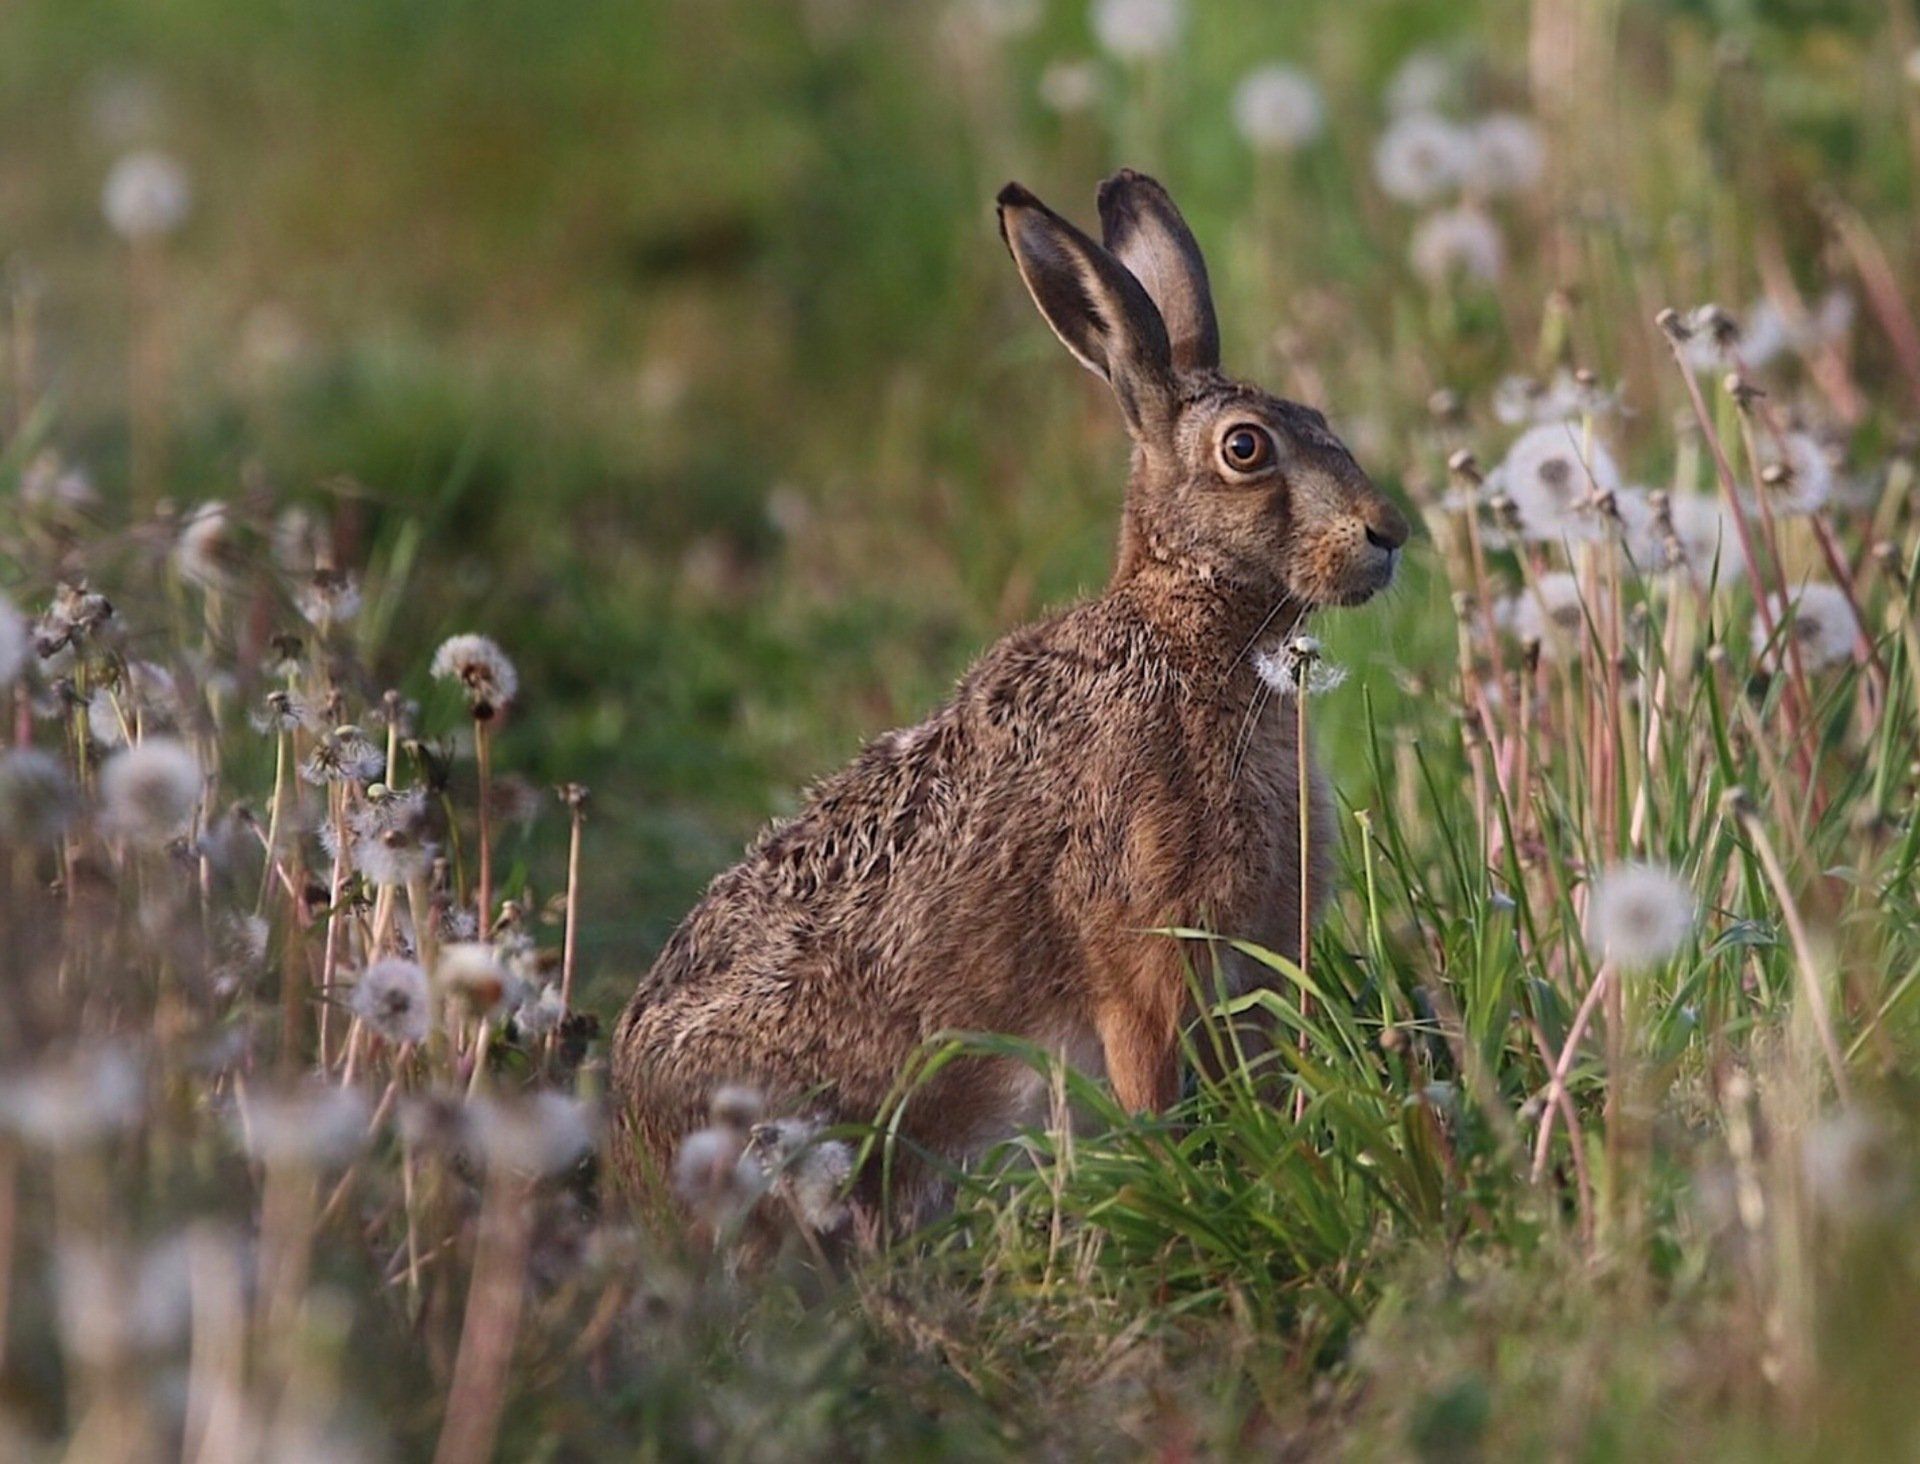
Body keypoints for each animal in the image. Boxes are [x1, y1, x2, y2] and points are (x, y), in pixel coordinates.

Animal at [612, 170, 1408, 1210]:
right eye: (1246, 449)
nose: (1389, 531)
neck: (1188, 628)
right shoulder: (1140, 959)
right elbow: (1148, 1085)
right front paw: (1171, 1185)